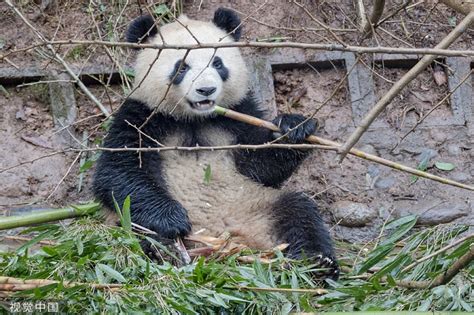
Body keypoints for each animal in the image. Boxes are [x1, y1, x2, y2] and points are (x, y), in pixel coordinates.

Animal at [91, 6, 336, 278]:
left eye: (217, 63)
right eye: (181, 67)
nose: (206, 90)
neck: (195, 119)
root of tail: (221, 239)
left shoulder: (238, 113)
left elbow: (260, 166)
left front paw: (293, 128)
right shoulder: (141, 116)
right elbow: (118, 171)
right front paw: (172, 219)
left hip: (254, 204)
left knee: (299, 211)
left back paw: (317, 264)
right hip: (128, 221)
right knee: (139, 229)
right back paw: (167, 250)